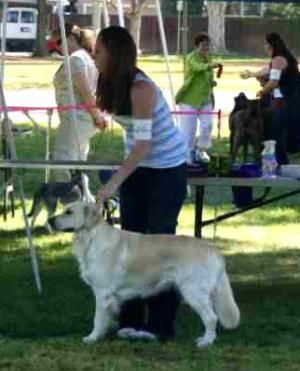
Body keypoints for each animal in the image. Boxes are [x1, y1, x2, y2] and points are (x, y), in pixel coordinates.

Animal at [49, 202, 241, 348]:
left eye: (69, 212)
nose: (49, 220)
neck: (90, 238)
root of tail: (214, 250)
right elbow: (107, 317)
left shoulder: (103, 292)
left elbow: (98, 319)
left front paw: (92, 337)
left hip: (193, 292)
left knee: (211, 318)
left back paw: (206, 342)